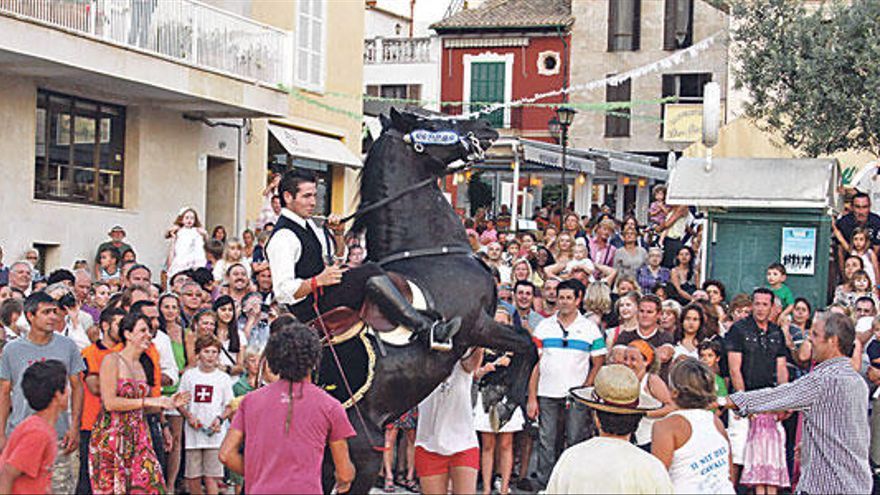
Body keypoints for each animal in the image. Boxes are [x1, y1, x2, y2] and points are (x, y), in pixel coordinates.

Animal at [320, 109, 538, 494]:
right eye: (434, 123)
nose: (485, 126)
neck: (432, 249)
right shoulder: (477, 325)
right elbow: (528, 343)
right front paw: (506, 402)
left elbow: (525, 344)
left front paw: (499, 395)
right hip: (362, 461)